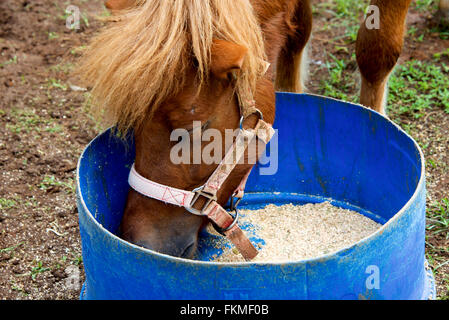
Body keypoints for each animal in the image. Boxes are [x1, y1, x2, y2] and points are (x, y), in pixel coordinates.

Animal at [79, 0, 414, 258]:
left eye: (192, 130)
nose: (142, 244)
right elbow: (299, 32)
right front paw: (291, 88)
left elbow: (376, 50)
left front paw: (373, 116)